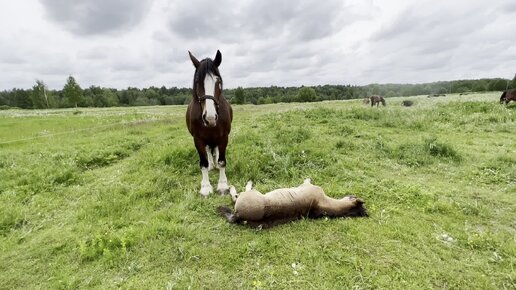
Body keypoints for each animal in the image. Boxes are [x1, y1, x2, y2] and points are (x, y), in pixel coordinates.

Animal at [186, 51, 233, 198]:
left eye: (218, 81)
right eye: (197, 82)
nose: (210, 118)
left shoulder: (224, 137)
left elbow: (222, 161)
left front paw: (223, 185)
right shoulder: (198, 139)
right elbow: (203, 163)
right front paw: (206, 187)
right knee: (208, 150)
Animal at [218, 178, 366, 228]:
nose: (352, 194)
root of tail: (239, 215)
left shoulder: (306, 185)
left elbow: (306, 181)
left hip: (249, 195)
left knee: (236, 195)